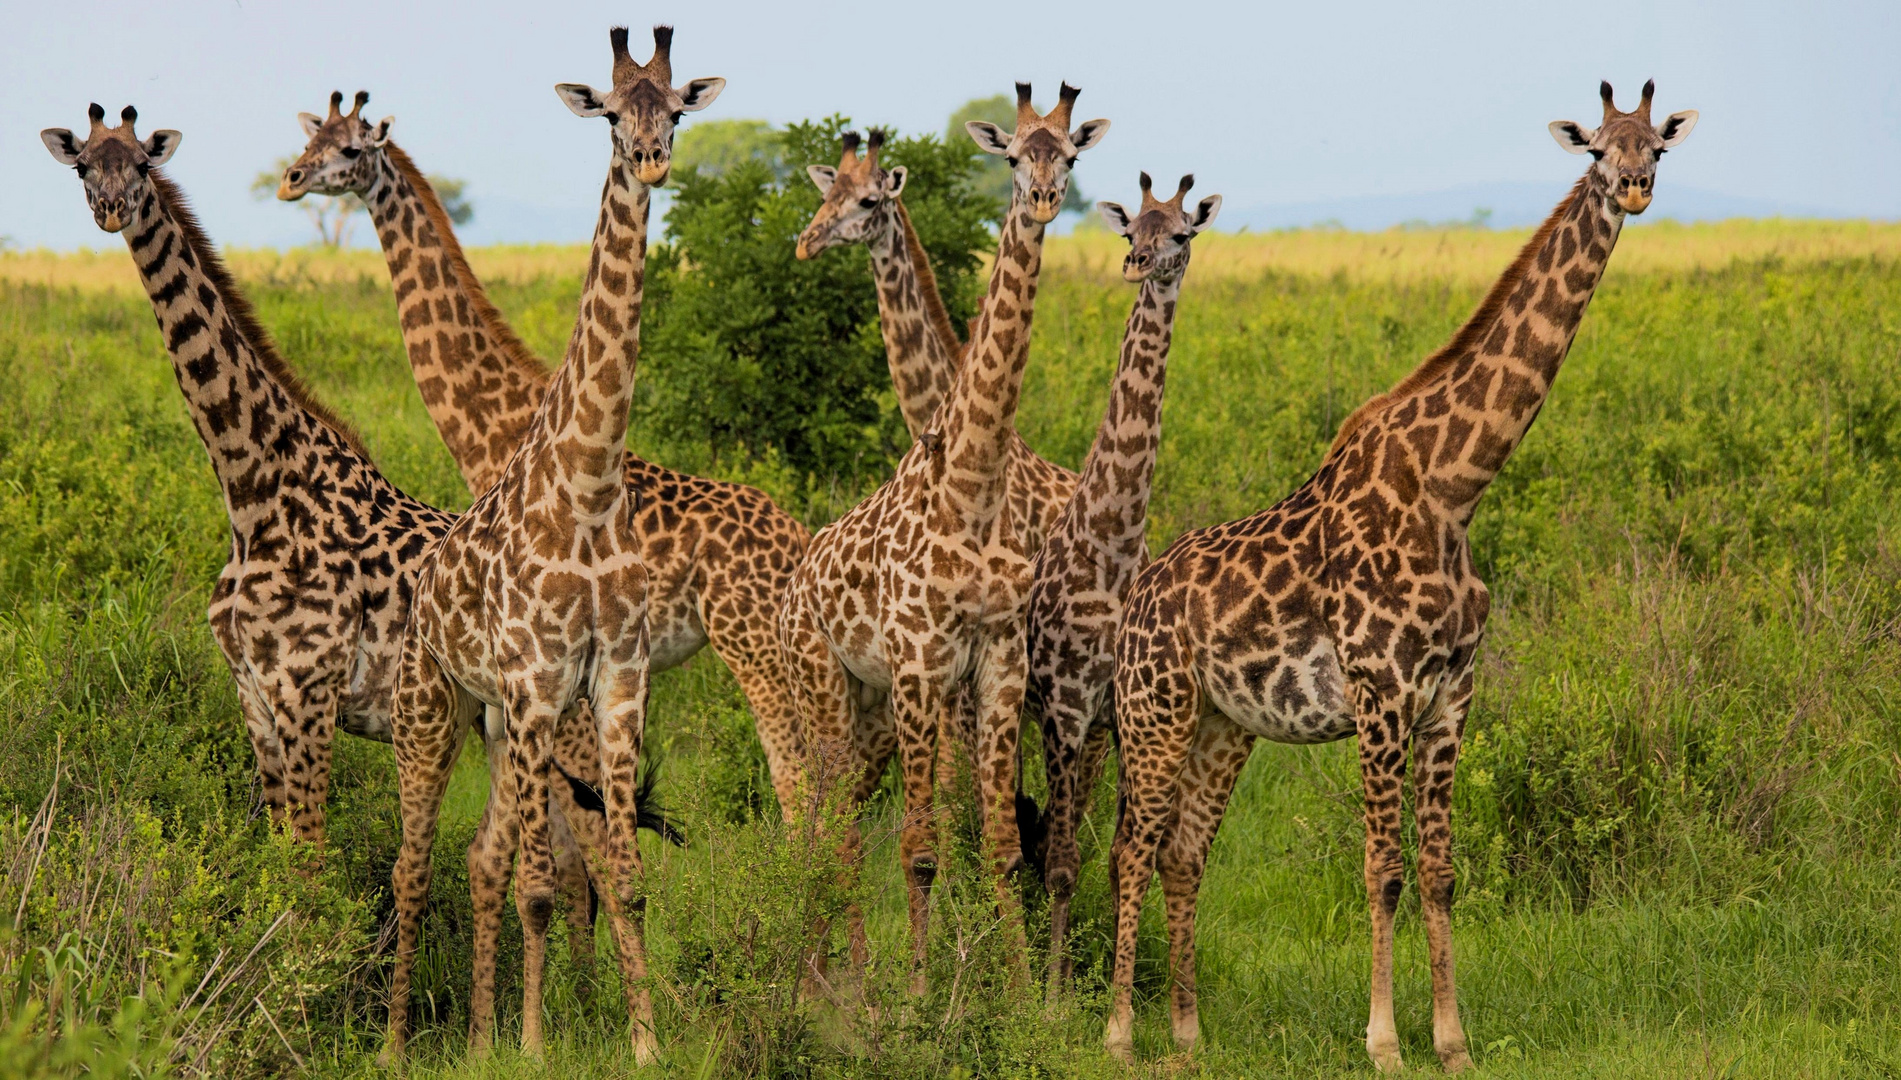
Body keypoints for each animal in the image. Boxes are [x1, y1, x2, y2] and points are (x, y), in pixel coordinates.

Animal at [277, 90, 813, 810]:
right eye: (312, 141)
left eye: (351, 149)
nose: (290, 179)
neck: (494, 425)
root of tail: (800, 539)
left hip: (751, 641)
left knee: (799, 774)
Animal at [382, 27, 722, 1064]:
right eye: (610, 113)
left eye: (676, 109)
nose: (650, 159)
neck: (589, 484)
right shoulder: (537, 681)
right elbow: (540, 885)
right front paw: (536, 1046)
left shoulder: (613, 681)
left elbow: (626, 877)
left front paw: (644, 1044)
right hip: (432, 710)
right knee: (416, 865)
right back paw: (398, 1044)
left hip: (495, 726)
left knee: (479, 853)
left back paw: (477, 1036)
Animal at [771, 84, 1102, 988]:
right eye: (1012, 155)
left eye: (1068, 154)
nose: (806, 242)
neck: (972, 484)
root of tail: (794, 589)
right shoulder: (925, 667)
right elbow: (925, 842)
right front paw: (924, 989)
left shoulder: (995, 664)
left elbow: (995, 841)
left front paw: (1017, 993)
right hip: (831, 691)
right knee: (827, 823)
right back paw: (832, 981)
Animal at [1102, 80, 1695, 1064]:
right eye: (1593, 150)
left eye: (1655, 145)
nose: (1635, 187)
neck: (1454, 488)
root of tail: (1136, 596)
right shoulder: (1379, 692)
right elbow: (1381, 869)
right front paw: (1382, 1040)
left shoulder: (1451, 694)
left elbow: (1441, 871)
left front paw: (1453, 1041)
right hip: (1154, 710)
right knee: (1133, 844)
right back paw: (1117, 1032)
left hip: (1224, 725)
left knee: (1183, 850)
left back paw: (1186, 1036)